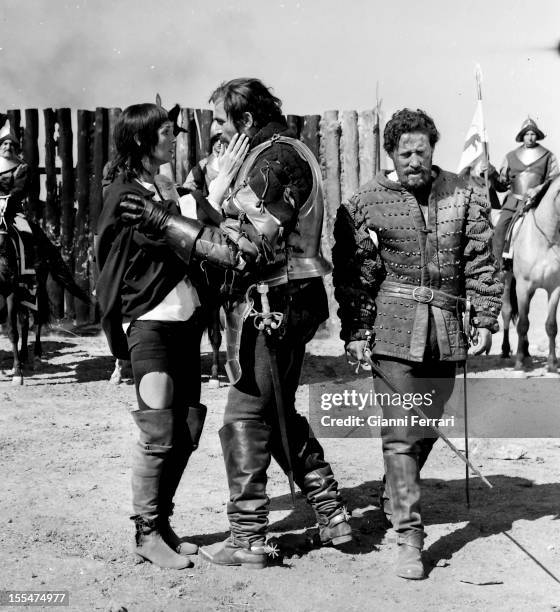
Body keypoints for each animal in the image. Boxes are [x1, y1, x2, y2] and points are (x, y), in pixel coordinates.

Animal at [500, 175, 560, 370]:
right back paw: (506, 351)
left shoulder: (554, 288)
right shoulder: (523, 286)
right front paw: (519, 362)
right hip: (508, 280)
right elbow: (523, 324)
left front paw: (552, 363)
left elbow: (551, 325)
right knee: (507, 311)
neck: (546, 239)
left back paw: (526, 351)